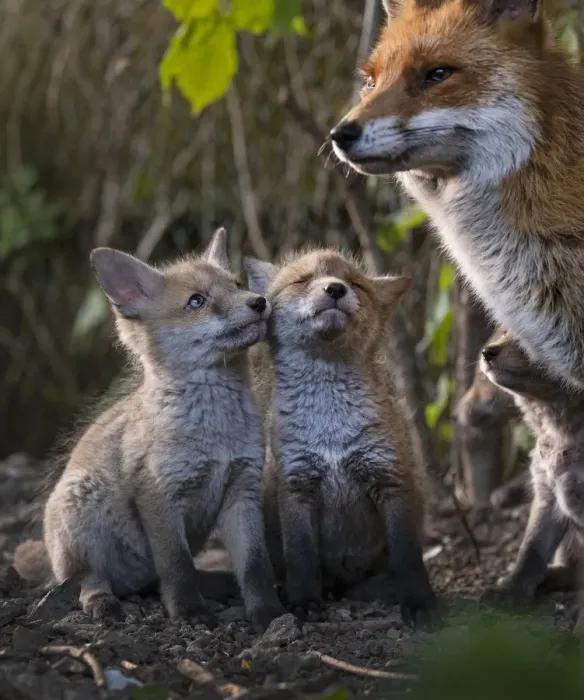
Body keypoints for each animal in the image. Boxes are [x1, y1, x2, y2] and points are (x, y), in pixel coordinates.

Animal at [14, 229, 285, 632]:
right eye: (197, 301)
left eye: (236, 284)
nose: (259, 302)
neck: (215, 435)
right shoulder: (159, 494)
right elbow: (177, 566)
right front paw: (188, 612)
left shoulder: (242, 490)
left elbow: (255, 566)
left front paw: (269, 613)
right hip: (81, 514)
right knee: (89, 581)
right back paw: (103, 603)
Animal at [245, 249, 437, 624]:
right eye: (302, 280)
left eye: (356, 284)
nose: (335, 289)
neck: (331, 432)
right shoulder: (296, 485)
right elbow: (301, 557)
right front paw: (304, 601)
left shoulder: (389, 478)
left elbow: (408, 557)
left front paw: (419, 602)